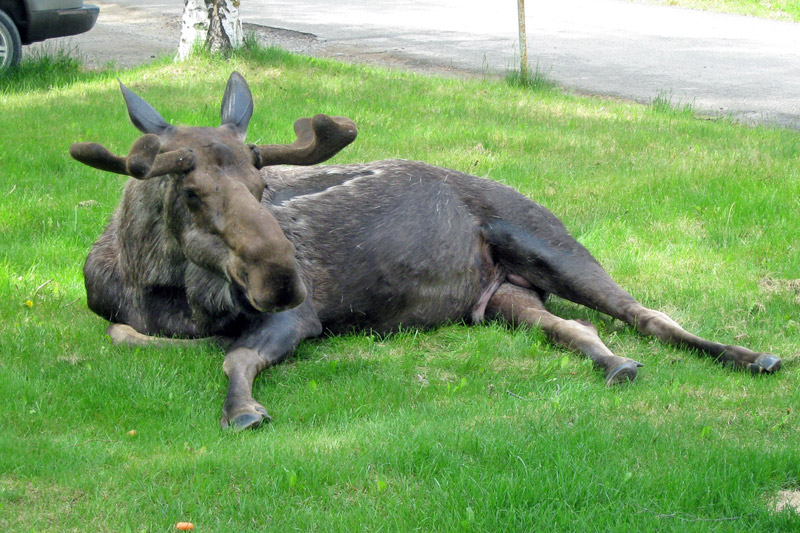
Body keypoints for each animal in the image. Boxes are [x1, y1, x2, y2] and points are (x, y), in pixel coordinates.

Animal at [70, 71, 780, 428]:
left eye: (262, 183)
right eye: (190, 191)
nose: (283, 279)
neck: (151, 279)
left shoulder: (299, 319)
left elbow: (232, 355)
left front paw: (243, 410)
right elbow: (128, 335)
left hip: (550, 245)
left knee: (648, 315)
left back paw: (752, 356)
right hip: (506, 300)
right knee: (574, 327)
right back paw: (615, 365)